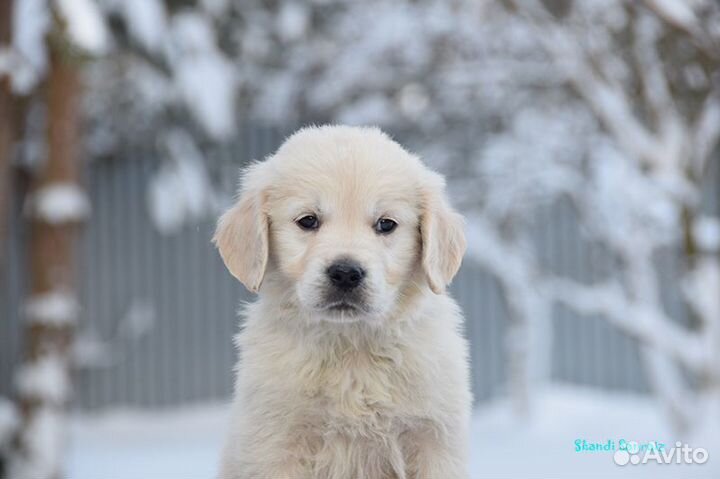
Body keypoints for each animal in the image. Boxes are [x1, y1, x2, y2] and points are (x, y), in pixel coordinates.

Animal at [214, 125, 472, 478]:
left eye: (386, 224)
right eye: (308, 221)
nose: (346, 273)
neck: (350, 348)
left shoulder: (433, 438)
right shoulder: (275, 443)